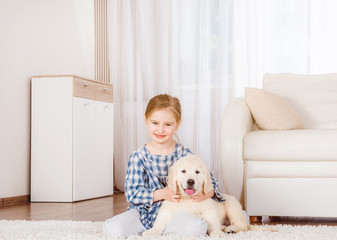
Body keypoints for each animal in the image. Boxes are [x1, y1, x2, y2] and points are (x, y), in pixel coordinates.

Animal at [142, 156, 272, 236]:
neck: (188, 199)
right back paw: (225, 228)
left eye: (197, 172)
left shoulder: (208, 210)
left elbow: (212, 222)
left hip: (232, 205)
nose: (190, 181)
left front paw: (216, 232)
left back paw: (231, 229)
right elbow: (159, 222)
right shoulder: (167, 210)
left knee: (242, 225)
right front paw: (151, 231)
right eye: (183, 171)